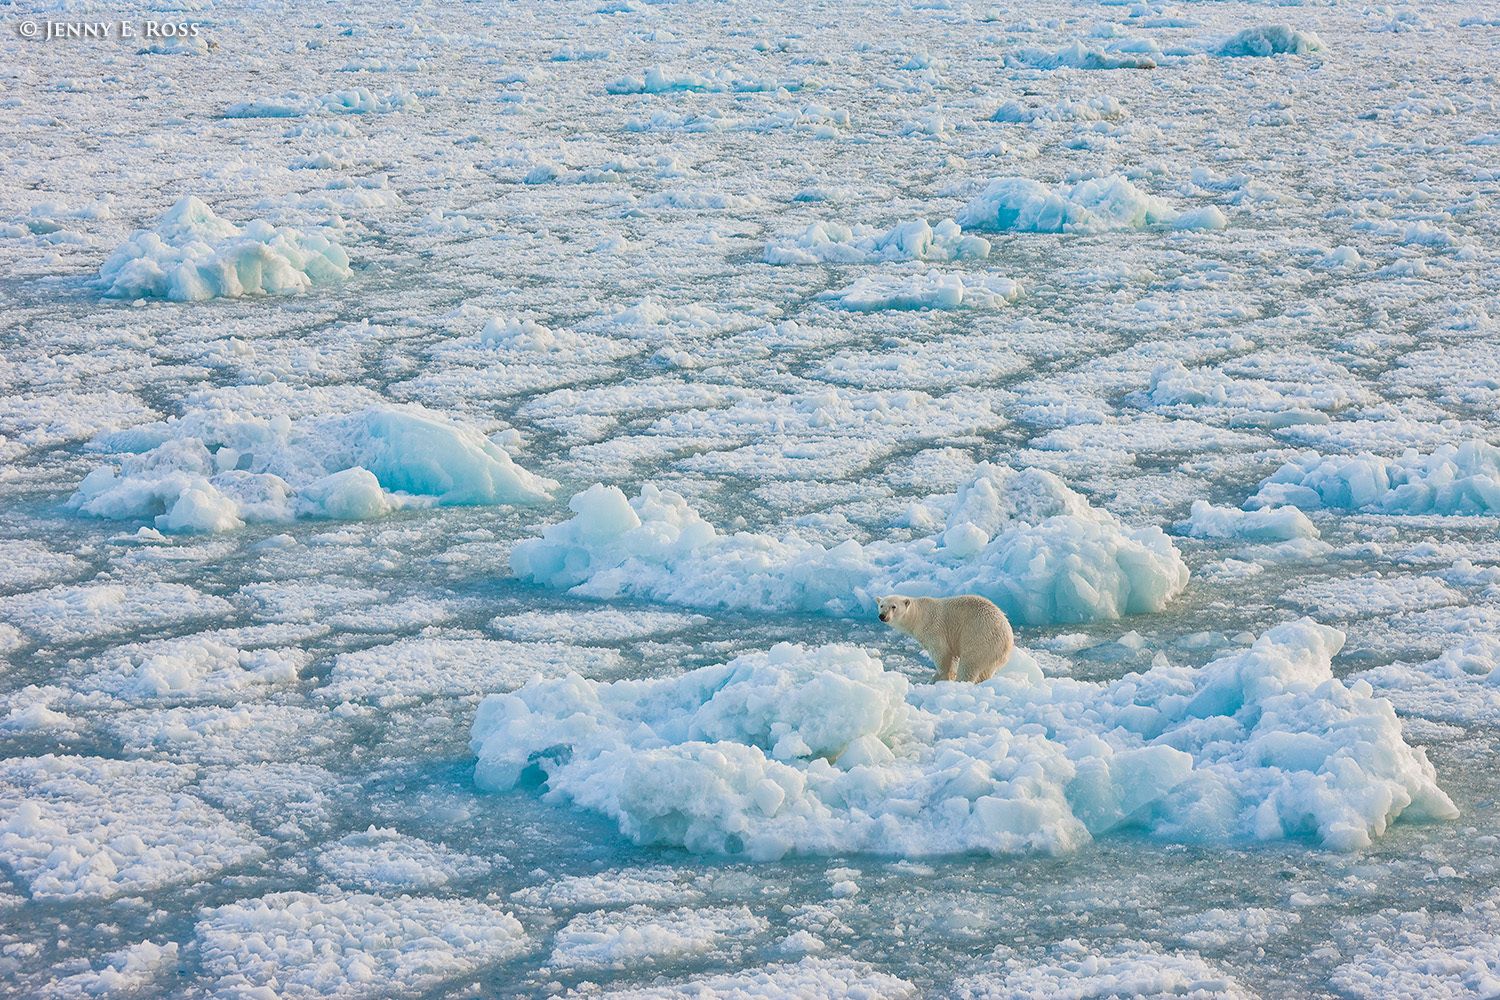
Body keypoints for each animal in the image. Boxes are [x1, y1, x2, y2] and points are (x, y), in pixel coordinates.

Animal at [876, 593, 1014, 683]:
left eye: (893, 606)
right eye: (881, 605)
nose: (882, 616)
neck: (918, 615)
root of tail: (1007, 638)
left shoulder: (933, 627)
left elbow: (942, 653)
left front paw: (940, 677)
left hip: (980, 638)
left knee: (969, 664)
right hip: (993, 654)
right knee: (986, 671)